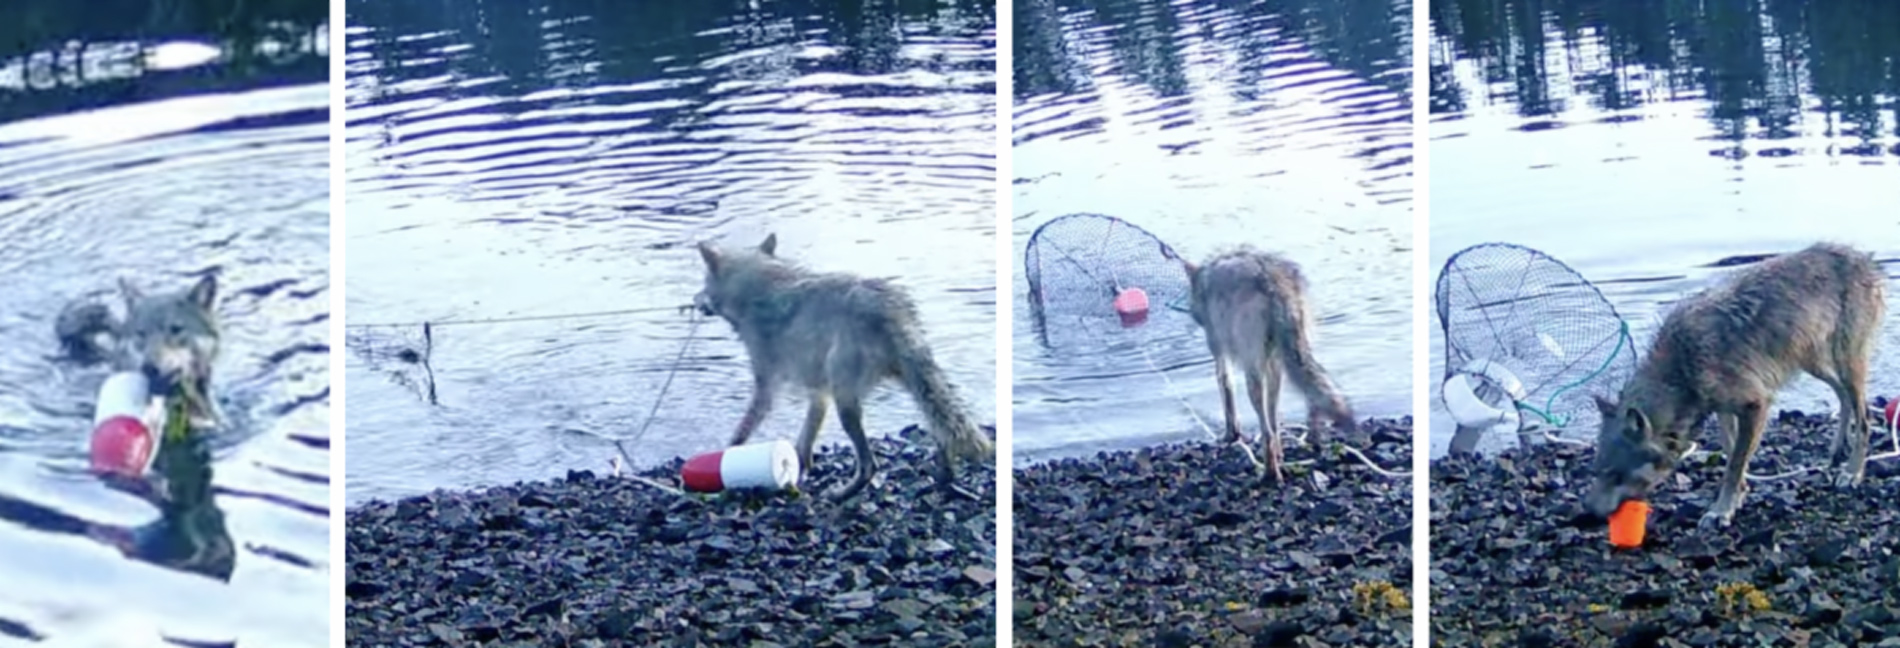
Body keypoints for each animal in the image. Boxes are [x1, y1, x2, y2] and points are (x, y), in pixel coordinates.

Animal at [692, 234, 994, 502]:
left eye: (703, 284)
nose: (693, 300)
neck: (757, 288)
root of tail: (889, 308)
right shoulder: (818, 393)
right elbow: (804, 441)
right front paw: (799, 471)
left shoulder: (768, 385)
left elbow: (743, 429)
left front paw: (727, 458)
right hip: (911, 383)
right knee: (941, 431)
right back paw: (944, 477)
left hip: (847, 401)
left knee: (870, 465)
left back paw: (841, 494)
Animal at [1180, 246, 1357, 485]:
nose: (1195, 316)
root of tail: (1274, 283)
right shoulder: (1272, 365)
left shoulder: (1220, 353)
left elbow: (1227, 395)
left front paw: (1230, 436)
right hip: (1292, 356)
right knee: (1295, 408)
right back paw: (1309, 440)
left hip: (1253, 373)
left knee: (1267, 431)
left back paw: (1270, 474)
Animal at [1585, 242, 1886, 529]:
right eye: (1597, 471)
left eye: (1615, 474)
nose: (1586, 514)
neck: (1681, 371)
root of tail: (1863, 257)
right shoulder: (1725, 410)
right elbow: (1732, 452)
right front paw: (1739, 496)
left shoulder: (1756, 405)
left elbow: (1734, 464)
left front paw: (1722, 511)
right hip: (1814, 363)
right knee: (1842, 396)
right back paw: (1837, 450)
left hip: (1847, 364)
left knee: (1865, 416)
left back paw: (1852, 473)